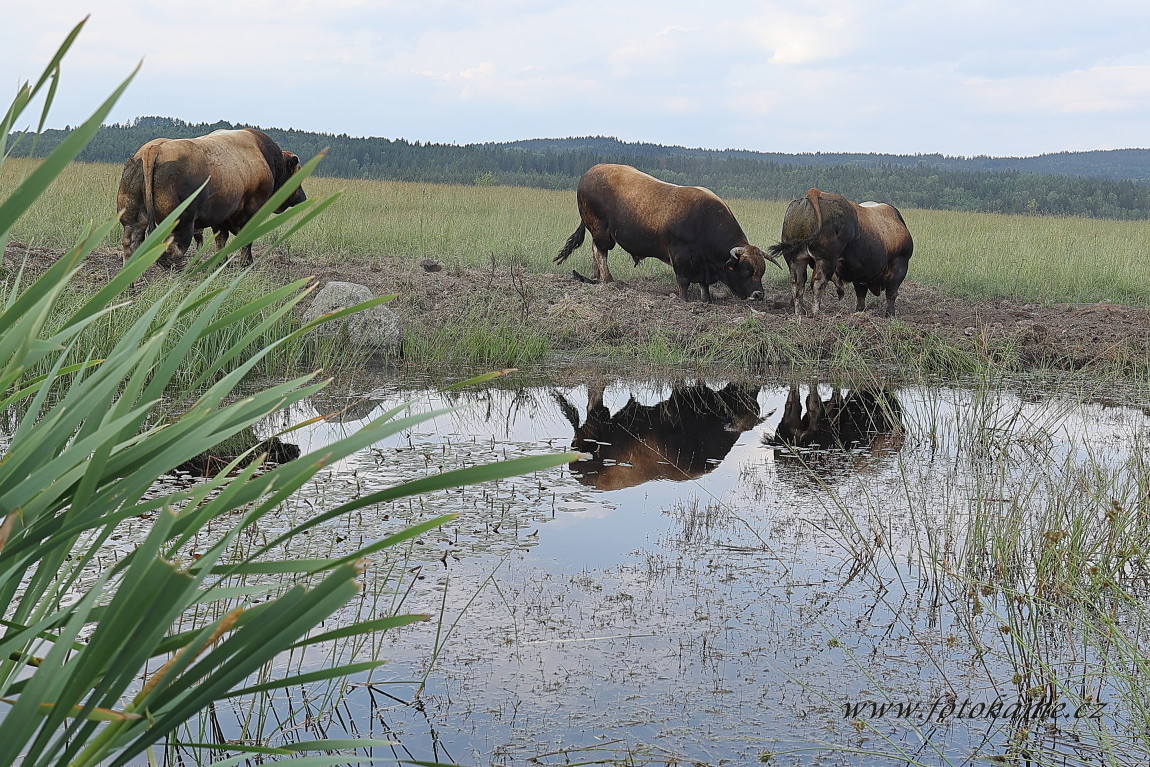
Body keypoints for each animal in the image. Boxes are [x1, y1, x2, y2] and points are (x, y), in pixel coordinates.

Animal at [117, 128, 305, 266]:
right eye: (298, 174)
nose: (303, 197)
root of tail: (154, 149)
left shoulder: (221, 215)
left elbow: (221, 240)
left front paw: (221, 263)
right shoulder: (250, 213)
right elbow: (245, 240)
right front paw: (246, 263)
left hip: (133, 220)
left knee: (130, 244)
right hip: (181, 224)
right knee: (172, 250)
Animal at [552, 163, 777, 301]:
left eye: (762, 270)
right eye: (746, 270)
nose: (758, 294)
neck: (704, 222)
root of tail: (591, 171)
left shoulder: (703, 264)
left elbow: (704, 285)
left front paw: (706, 300)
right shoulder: (680, 255)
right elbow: (683, 281)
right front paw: (684, 300)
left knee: (595, 250)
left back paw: (594, 277)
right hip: (600, 229)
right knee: (600, 252)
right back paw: (607, 279)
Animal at [768, 188, 910, 317]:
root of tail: (815, 192)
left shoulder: (859, 274)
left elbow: (861, 294)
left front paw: (860, 311)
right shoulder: (899, 265)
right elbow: (891, 292)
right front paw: (890, 314)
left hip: (795, 259)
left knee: (797, 283)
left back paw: (799, 312)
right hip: (826, 260)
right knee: (818, 282)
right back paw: (815, 312)